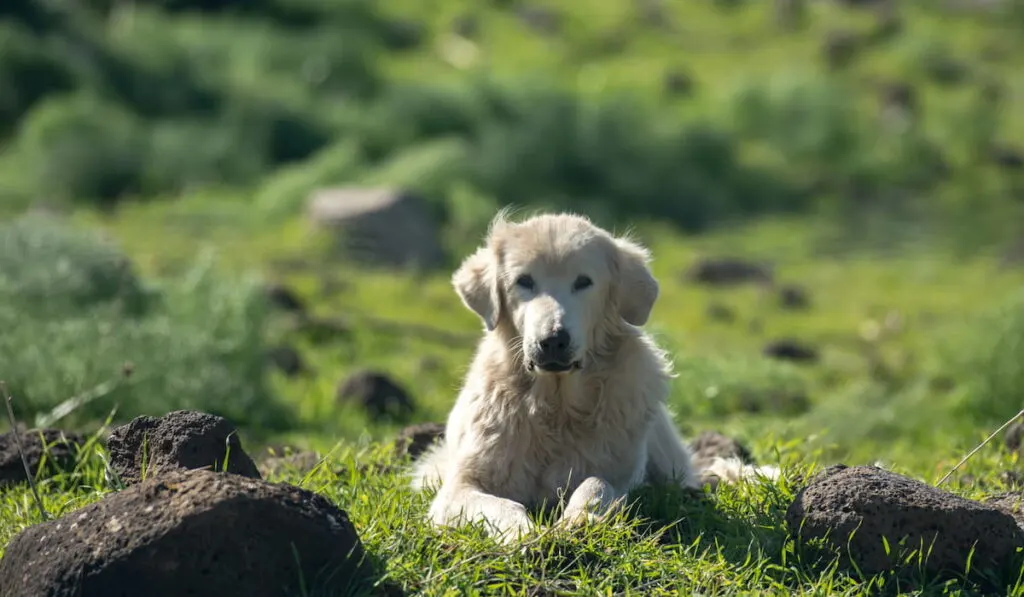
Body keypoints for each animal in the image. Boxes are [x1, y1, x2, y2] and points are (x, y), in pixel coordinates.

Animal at [407, 212, 774, 544]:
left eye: (583, 282)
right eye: (524, 281)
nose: (553, 340)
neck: (557, 407)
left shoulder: (621, 478)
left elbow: (596, 484)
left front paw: (579, 520)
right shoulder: (458, 488)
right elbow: (501, 504)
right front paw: (522, 533)